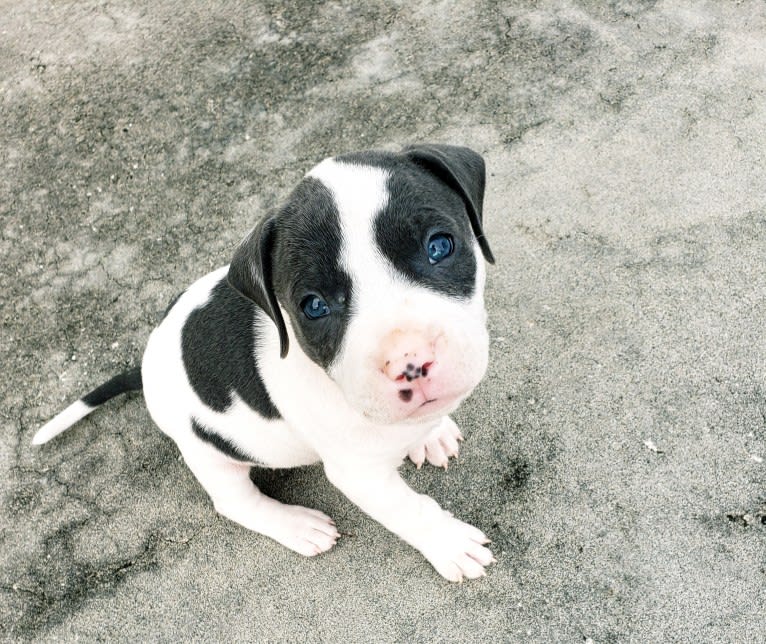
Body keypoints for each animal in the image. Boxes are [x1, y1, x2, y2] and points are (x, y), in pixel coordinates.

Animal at [33, 143, 498, 580]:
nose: (411, 363)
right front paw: (449, 544)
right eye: (314, 306)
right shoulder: (359, 474)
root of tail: (147, 367)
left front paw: (431, 434)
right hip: (208, 454)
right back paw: (296, 525)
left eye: (439, 246)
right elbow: (409, 511)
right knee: (234, 502)